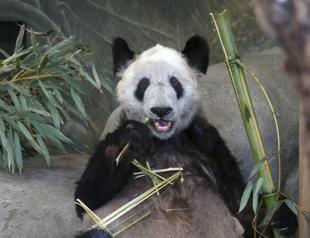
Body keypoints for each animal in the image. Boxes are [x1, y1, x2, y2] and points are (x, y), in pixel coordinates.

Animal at [74, 35, 296, 238]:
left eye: (174, 82)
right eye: (143, 84)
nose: (161, 110)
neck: (163, 141)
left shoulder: (203, 141)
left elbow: (244, 206)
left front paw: (282, 214)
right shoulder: (117, 128)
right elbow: (86, 198)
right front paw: (130, 138)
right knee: (97, 234)